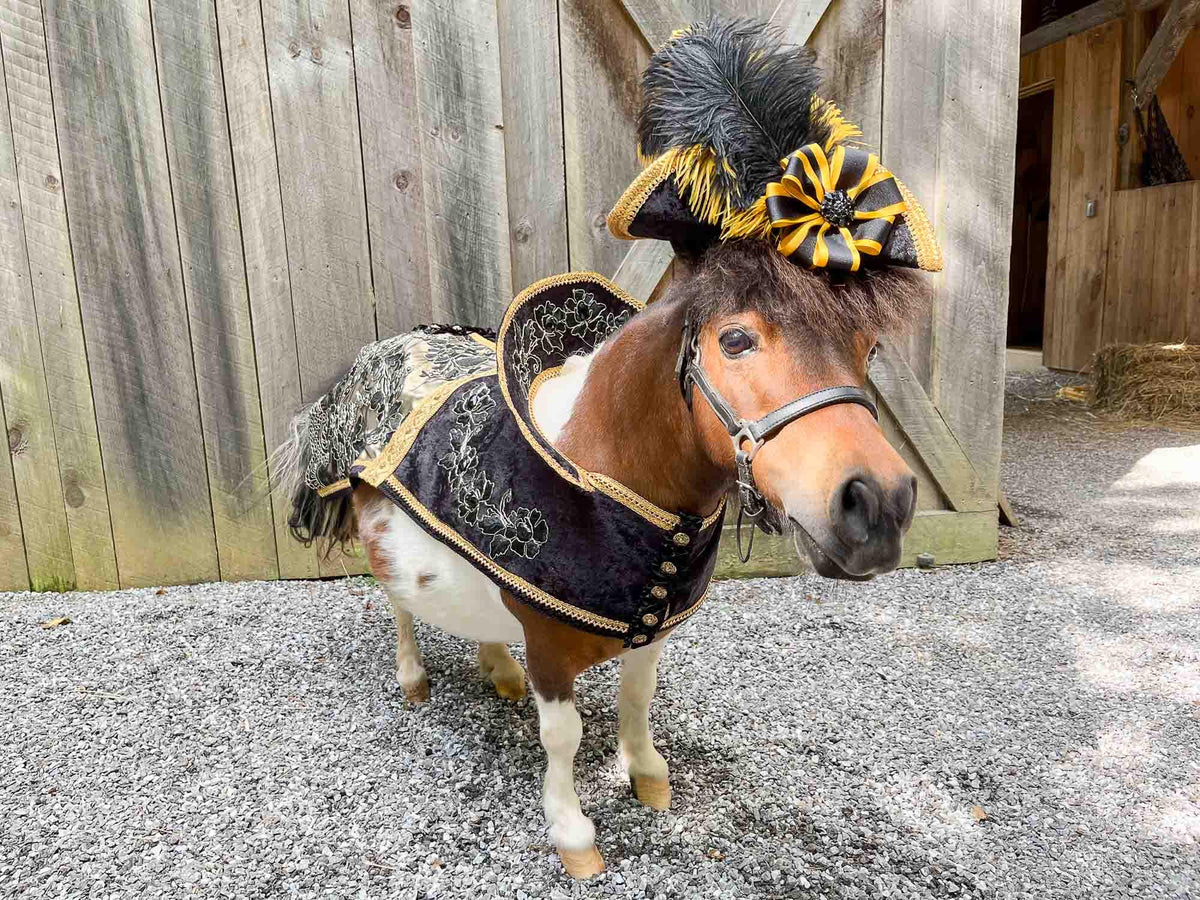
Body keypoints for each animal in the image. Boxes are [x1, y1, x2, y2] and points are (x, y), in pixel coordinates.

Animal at [274, 238, 926, 878]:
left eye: (869, 348)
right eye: (736, 340)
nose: (879, 505)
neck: (595, 470)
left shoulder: (650, 630)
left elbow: (636, 699)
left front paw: (648, 776)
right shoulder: (549, 645)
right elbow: (563, 736)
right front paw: (573, 836)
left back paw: (499, 668)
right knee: (399, 603)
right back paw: (413, 678)